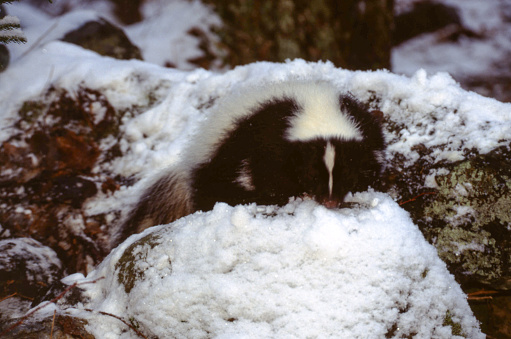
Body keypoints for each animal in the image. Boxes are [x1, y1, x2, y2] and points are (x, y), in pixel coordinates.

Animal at [116, 81, 386, 247]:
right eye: (311, 175)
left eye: (346, 174)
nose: (330, 202)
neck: (316, 110)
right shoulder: (267, 143)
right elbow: (269, 176)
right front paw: (298, 194)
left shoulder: (367, 134)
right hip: (216, 171)